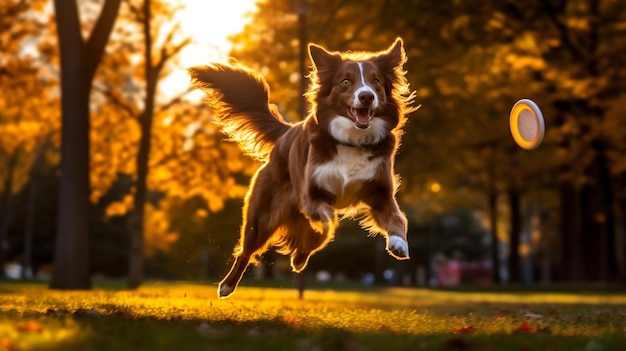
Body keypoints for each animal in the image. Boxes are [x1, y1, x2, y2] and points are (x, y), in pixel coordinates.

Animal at [188, 38, 416, 298]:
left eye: (375, 80)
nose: (366, 96)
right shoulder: (311, 196)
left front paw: (398, 243)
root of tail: (285, 133)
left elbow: (397, 219)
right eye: (345, 81)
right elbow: (326, 225)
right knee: (246, 250)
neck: (351, 140)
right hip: (263, 216)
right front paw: (312, 240)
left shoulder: (380, 193)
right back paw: (227, 285)